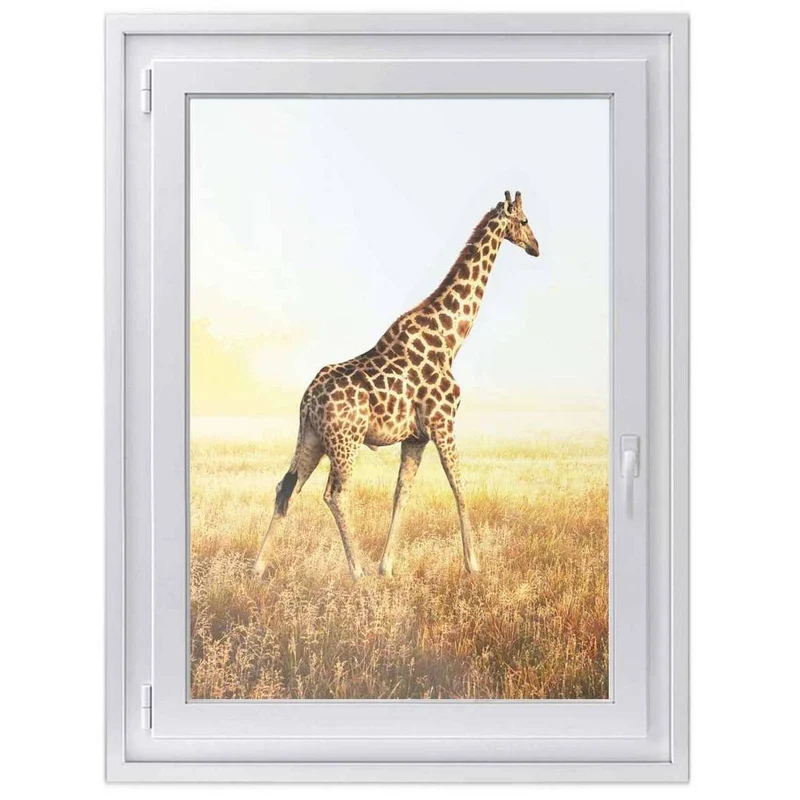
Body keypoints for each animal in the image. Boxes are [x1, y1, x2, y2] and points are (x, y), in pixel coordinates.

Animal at [252, 190, 539, 581]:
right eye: (524, 221)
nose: (536, 247)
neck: (449, 339)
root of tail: (307, 399)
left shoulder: (416, 437)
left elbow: (401, 493)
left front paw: (386, 566)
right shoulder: (443, 423)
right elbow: (459, 487)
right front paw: (473, 565)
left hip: (311, 437)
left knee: (287, 487)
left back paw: (258, 567)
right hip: (345, 441)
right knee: (334, 494)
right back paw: (356, 571)